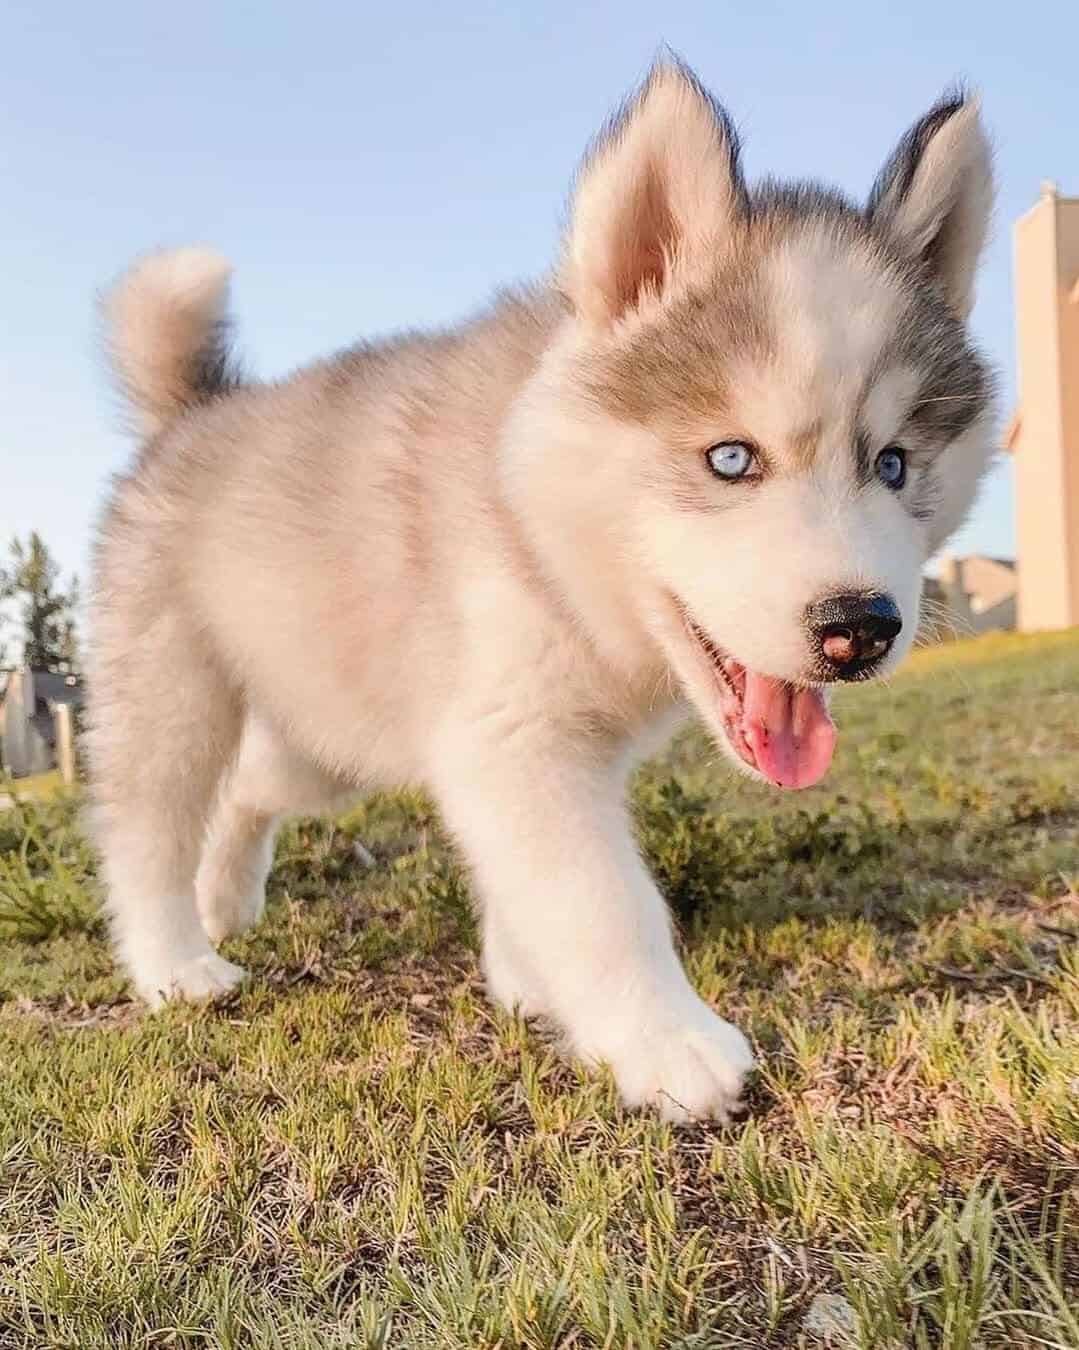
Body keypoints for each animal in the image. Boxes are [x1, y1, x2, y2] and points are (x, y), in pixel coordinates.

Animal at [88, 60, 999, 1117]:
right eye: (731, 459)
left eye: (893, 465)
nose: (860, 627)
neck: (555, 547)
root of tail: (193, 414)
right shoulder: (516, 740)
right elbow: (602, 901)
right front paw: (665, 1040)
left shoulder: (518, 749)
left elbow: (531, 885)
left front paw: (529, 980)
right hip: (175, 696)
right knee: (147, 829)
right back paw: (175, 961)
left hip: (330, 727)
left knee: (248, 788)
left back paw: (225, 901)